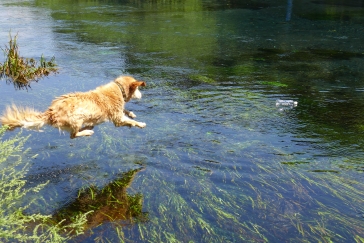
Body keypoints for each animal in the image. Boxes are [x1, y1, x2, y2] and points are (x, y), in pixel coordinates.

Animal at [1, 75, 146, 140]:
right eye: (138, 89)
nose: (142, 95)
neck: (119, 89)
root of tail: (51, 112)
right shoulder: (117, 119)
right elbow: (129, 121)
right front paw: (139, 124)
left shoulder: (119, 112)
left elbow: (126, 112)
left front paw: (131, 113)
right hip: (77, 118)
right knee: (73, 135)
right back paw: (87, 131)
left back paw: (89, 127)